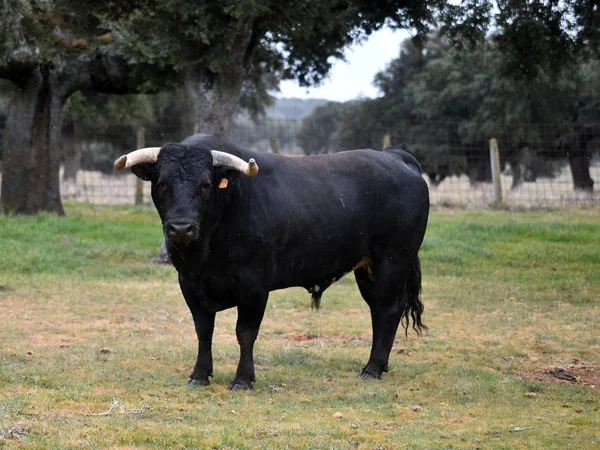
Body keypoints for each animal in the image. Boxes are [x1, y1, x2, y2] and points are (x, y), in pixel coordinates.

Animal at [117, 134, 426, 390]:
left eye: (205, 185)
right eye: (161, 184)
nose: (181, 229)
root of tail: (395, 156)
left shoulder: (254, 284)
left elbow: (245, 332)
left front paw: (243, 379)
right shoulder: (190, 283)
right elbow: (203, 330)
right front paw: (199, 375)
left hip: (393, 260)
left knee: (389, 309)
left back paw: (372, 368)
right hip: (368, 267)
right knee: (377, 310)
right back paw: (378, 365)